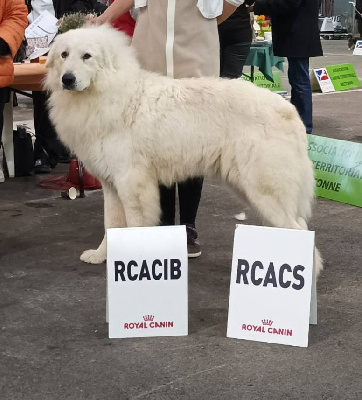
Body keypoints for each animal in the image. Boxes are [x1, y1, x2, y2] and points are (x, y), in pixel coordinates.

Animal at [45, 25, 322, 276]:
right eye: (64, 55)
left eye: (87, 56)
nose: (67, 79)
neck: (108, 91)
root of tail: (288, 109)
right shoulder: (111, 184)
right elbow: (110, 225)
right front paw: (101, 255)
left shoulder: (131, 183)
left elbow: (133, 224)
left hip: (265, 189)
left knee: (298, 229)